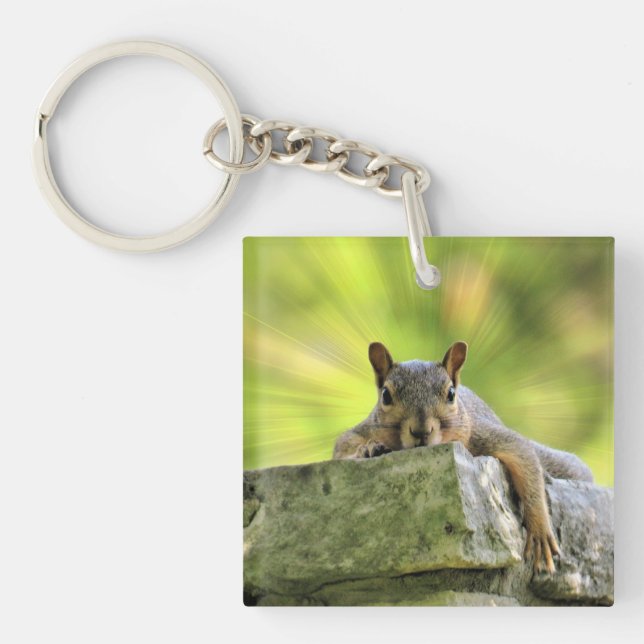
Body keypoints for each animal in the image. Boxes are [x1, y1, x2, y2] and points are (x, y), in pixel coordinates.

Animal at [332, 341, 594, 574]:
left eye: (451, 394)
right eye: (386, 395)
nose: (421, 432)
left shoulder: (481, 434)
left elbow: (523, 456)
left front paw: (539, 529)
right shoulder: (364, 429)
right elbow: (343, 446)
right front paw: (367, 449)